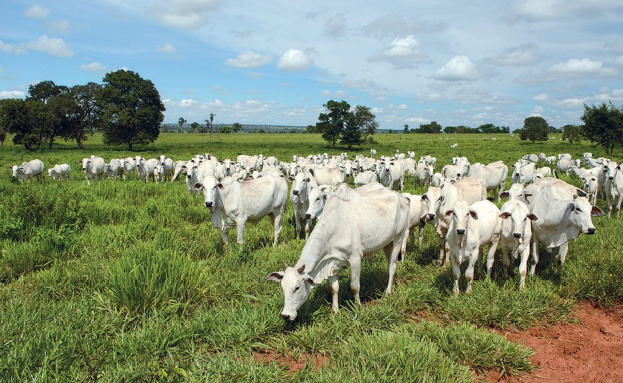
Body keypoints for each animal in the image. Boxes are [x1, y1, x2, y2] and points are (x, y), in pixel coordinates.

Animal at [266, 183, 410, 320]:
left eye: (297, 288)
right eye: (283, 287)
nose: (285, 315)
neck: (334, 227)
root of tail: (401, 197)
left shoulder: (355, 259)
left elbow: (355, 286)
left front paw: (358, 307)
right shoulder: (331, 262)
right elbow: (334, 288)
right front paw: (335, 311)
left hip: (398, 239)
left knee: (392, 266)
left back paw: (388, 292)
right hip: (387, 244)